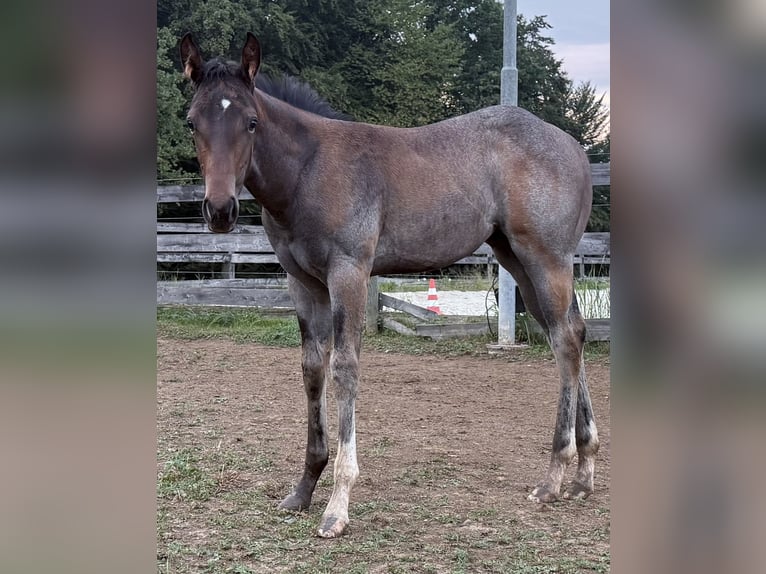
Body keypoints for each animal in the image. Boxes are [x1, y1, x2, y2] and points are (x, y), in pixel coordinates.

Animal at [179, 32, 599, 538]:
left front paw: (337, 506)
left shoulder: (349, 273)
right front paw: (303, 489)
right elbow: (312, 369)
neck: (308, 172)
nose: (220, 210)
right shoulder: (303, 282)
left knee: (566, 341)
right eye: (191, 122)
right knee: (569, 334)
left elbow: (344, 368)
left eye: (252, 122)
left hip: (546, 258)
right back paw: (583, 473)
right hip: (517, 262)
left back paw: (554, 476)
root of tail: (575, 147)